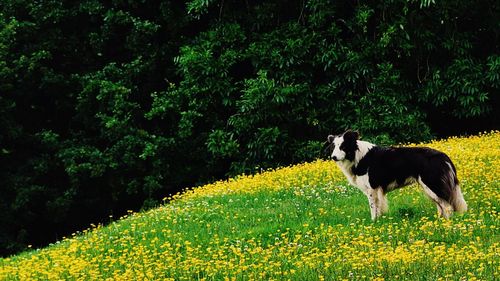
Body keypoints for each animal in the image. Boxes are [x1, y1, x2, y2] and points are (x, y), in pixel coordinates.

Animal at [326, 130, 466, 220]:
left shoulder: (372, 187)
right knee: (441, 206)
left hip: (432, 184)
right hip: (429, 188)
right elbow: (378, 207)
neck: (356, 156)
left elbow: (373, 207)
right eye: (333, 147)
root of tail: (444, 156)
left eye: (343, 146)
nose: (333, 157)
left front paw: (373, 222)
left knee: (447, 207)